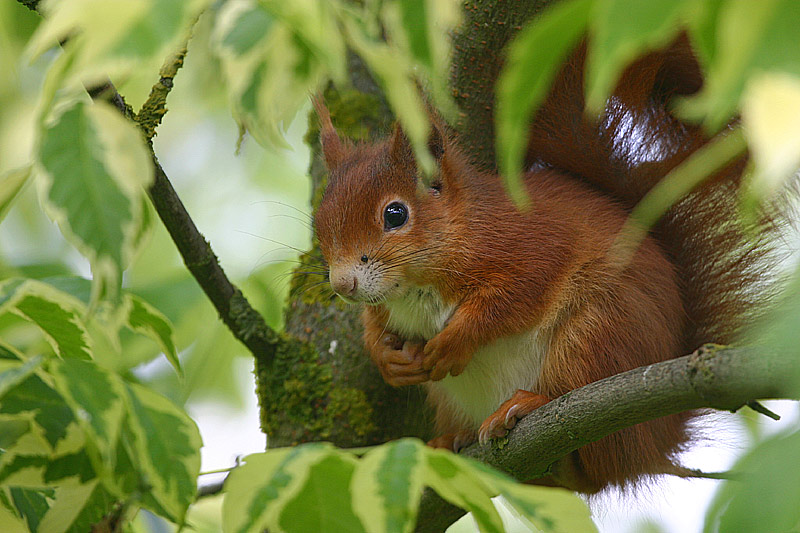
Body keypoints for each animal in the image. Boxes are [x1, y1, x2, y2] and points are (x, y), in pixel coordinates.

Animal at [310, 36, 776, 490]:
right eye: (319, 217)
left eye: (395, 214)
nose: (343, 285)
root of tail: (661, 436)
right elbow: (374, 325)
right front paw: (387, 359)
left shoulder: (531, 246)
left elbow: (511, 300)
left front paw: (454, 340)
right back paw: (451, 439)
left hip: (600, 334)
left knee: (588, 453)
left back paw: (530, 409)